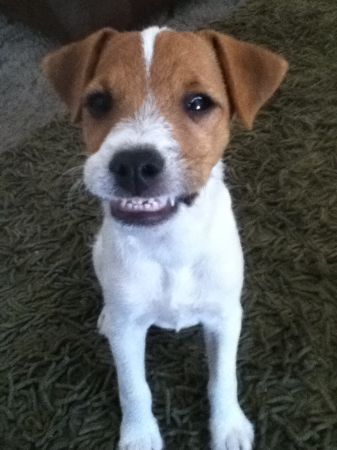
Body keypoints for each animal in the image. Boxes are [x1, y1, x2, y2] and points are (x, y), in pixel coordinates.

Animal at [43, 27, 288, 450]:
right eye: (98, 102)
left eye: (198, 103)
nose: (134, 164)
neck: (169, 244)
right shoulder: (128, 334)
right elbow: (134, 387)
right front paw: (140, 434)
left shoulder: (226, 316)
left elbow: (223, 377)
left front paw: (228, 426)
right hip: (99, 255)